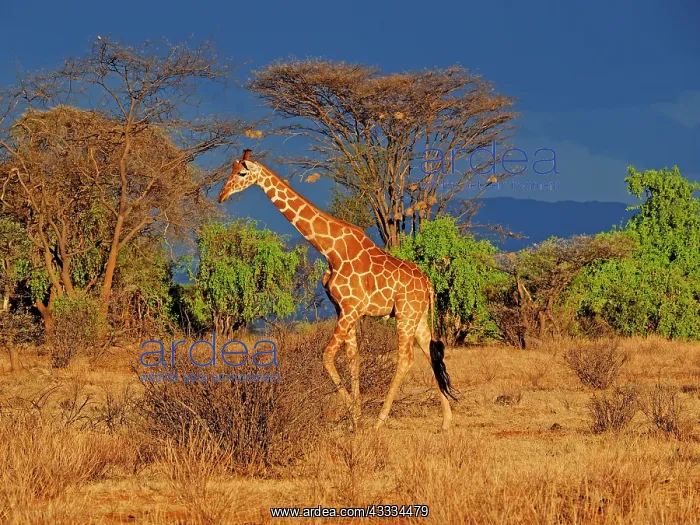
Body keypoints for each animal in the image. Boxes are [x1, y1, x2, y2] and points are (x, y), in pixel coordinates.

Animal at [218, 150, 457, 430]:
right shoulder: (343, 310)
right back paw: (446, 421)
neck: (329, 249)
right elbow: (354, 359)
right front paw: (356, 418)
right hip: (417, 318)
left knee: (406, 359)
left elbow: (327, 357)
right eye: (230, 170)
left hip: (405, 315)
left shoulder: (351, 309)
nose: (222, 195)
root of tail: (429, 284)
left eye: (242, 172)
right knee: (431, 353)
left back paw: (380, 420)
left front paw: (356, 414)